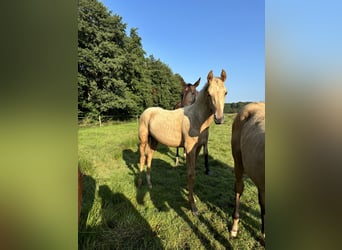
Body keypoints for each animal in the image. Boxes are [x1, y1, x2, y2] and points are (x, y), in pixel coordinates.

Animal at [138, 69, 228, 214]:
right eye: (209, 94)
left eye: (225, 92)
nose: (219, 119)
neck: (197, 118)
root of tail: (147, 111)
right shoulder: (190, 148)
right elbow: (191, 174)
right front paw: (193, 206)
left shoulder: (197, 148)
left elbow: (192, 172)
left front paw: (193, 197)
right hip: (143, 139)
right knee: (142, 158)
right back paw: (140, 184)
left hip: (154, 141)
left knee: (149, 157)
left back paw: (150, 184)